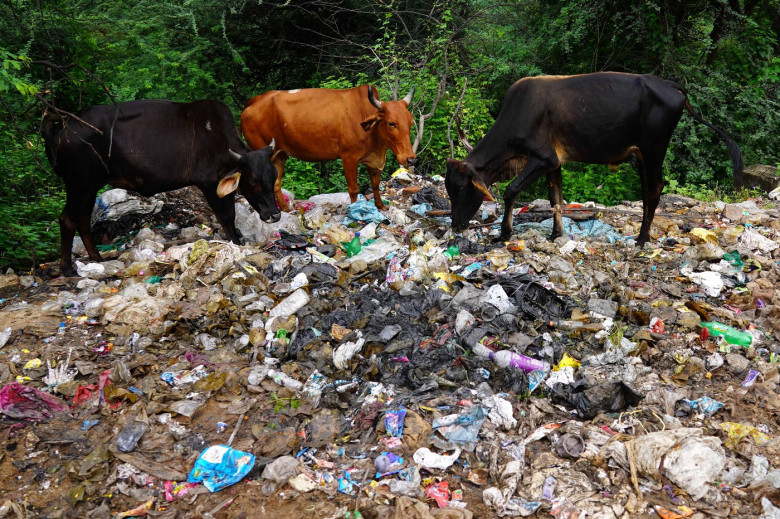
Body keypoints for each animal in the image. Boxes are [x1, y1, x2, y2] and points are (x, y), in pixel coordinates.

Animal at [41, 98, 280, 276]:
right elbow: (227, 217)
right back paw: (67, 268)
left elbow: (230, 217)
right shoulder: (209, 183)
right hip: (79, 184)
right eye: (253, 180)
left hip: (89, 187)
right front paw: (235, 245)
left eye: (274, 176)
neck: (219, 139)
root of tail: (61, 128)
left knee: (82, 220)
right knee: (68, 219)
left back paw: (96, 258)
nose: (275, 214)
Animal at [241, 84, 418, 210]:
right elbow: (353, 188)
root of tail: (254, 101)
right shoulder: (348, 157)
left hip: (279, 155)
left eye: (410, 122)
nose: (410, 159)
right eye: (391, 123)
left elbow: (375, 184)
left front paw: (380, 206)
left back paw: (285, 209)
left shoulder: (374, 159)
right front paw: (354, 211)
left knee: (276, 183)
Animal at [444, 71, 744, 248]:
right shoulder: (554, 163)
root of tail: (670, 84)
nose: (455, 224)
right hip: (642, 154)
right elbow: (555, 199)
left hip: (654, 149)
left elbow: (511, 191)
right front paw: (556, 234)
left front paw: (505, 233)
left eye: (459, 188)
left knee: (654, 189)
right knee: (648, 189)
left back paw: (642, 239)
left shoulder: (541, 157)